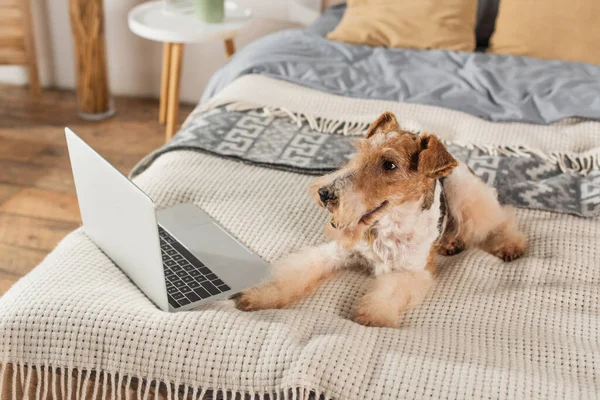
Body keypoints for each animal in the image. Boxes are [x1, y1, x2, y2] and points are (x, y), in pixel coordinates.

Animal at [234, 111, 524, 326]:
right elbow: (292, 277)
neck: (389, 225)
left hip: (465, 194)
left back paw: (510, 246)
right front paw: (258, 298)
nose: (325, 193)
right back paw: (452, 243)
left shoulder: (411, 272)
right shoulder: (337, 252)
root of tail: (460, 161)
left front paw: (370, 316)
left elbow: (387, 294)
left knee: (501, 218)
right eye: (359, 151)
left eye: (389, 165)